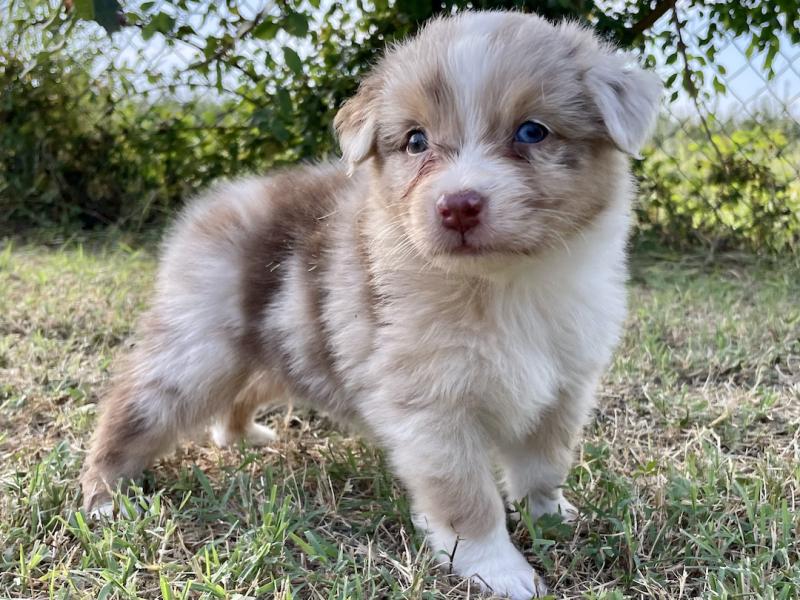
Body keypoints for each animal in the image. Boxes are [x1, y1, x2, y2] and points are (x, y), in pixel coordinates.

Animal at [81, 11, 660, 596]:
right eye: (416, 141)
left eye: (532, 131)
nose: (458, 206)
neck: (500, 286)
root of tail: (215, 200)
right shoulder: (432, 409)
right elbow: (466, 498)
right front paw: (500, 570)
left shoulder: (563, 387)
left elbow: (543, 466)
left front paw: (553, 518)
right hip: (198, 353)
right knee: (131, 409)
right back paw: (105, 498)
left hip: (279, 352)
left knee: (241, 394)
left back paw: (241, 437)